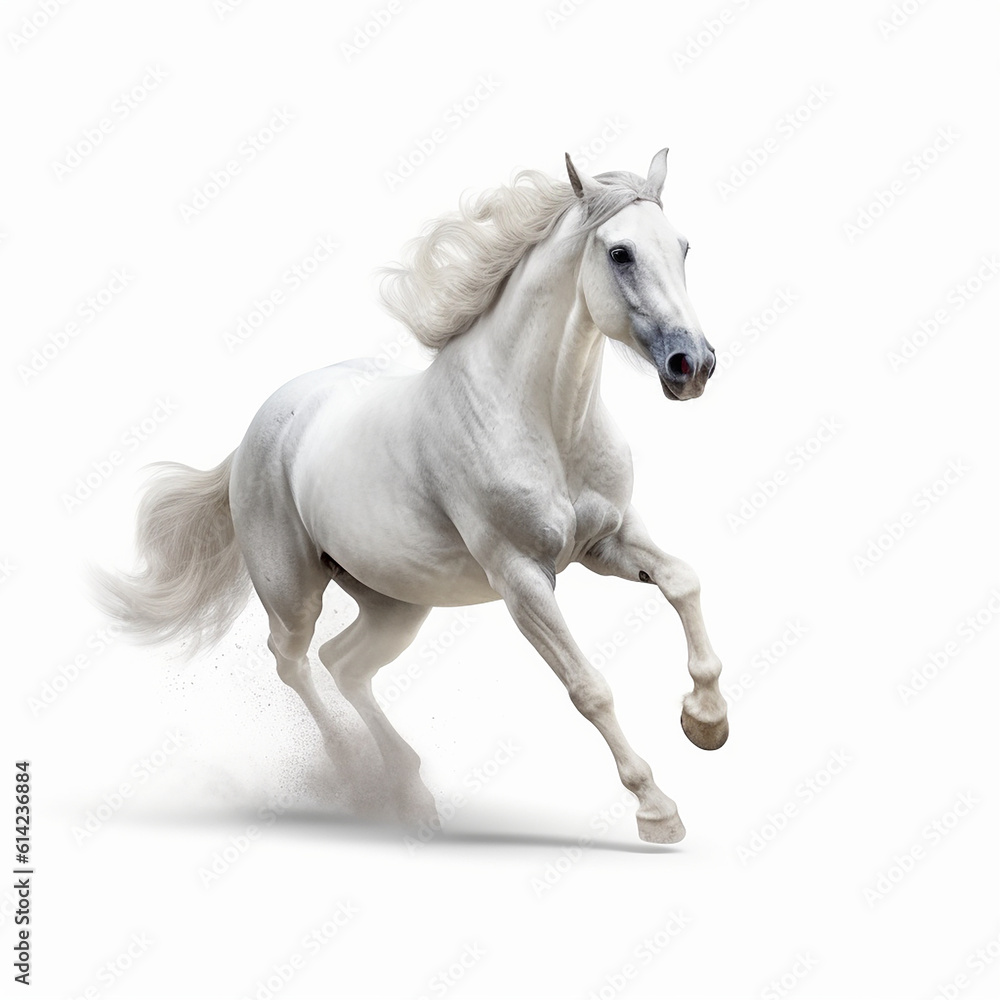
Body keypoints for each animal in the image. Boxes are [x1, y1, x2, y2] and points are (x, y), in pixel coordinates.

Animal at [96, 148, 728, 844]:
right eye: (620, 253)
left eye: (684, 247)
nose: (692, 365)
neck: (541, 418)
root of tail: (258, 430)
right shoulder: (521, 577)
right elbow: (588, 687)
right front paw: (657, 810)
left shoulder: (608, 540)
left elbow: (684, 580)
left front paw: (706, 722)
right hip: (291, 593)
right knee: (293, 660)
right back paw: (355, 771)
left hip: (395, 604)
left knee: (344, 663)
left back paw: (409, 788)